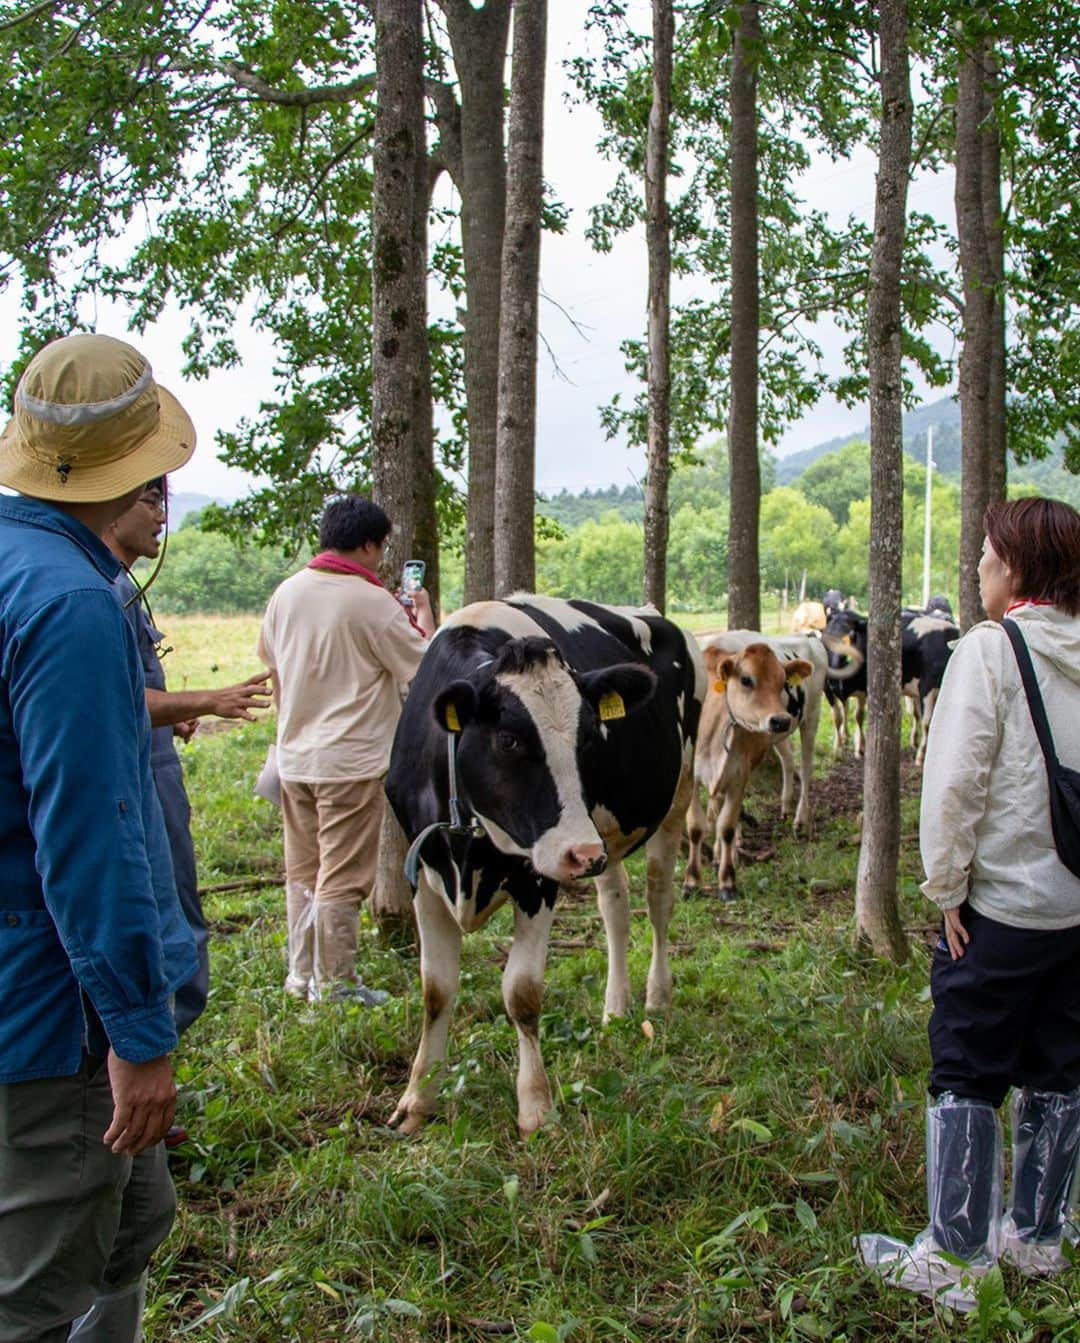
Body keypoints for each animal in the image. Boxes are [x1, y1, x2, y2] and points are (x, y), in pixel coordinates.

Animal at [386, 596, 709, 1133]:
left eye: (589, 737)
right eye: (508, 740)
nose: (581, 853)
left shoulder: (538, 878)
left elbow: (522, 993)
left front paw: (535, 1107)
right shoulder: (426, 876)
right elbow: (435, 991)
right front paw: (417, 1099)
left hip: (672, 797)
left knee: (658, 901)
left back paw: (657, 996)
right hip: (604, 836)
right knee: (616, 909)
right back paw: (616, 1007)